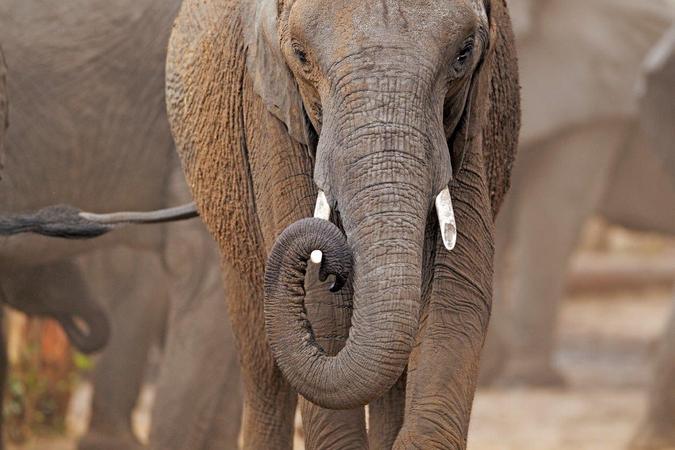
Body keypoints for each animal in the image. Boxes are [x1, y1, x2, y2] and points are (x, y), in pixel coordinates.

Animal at [166, 0, 520, 446]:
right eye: (300, 56)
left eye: (465, 53)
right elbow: (321, 305)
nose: (333, 258)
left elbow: (458, 291)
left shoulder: (470, 121)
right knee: (262, 367)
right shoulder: (271, 113)